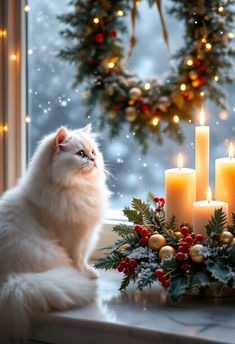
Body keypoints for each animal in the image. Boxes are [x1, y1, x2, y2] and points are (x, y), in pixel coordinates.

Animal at [0, 125, 109, 342]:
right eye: (80, 154)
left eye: (93, 152)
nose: (93, 159)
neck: (80, 190)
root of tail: (11, 281)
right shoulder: (71, 237)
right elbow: (77, 260)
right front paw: (82, 274)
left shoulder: (86, 236)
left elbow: (83, 259)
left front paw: (90, 272)